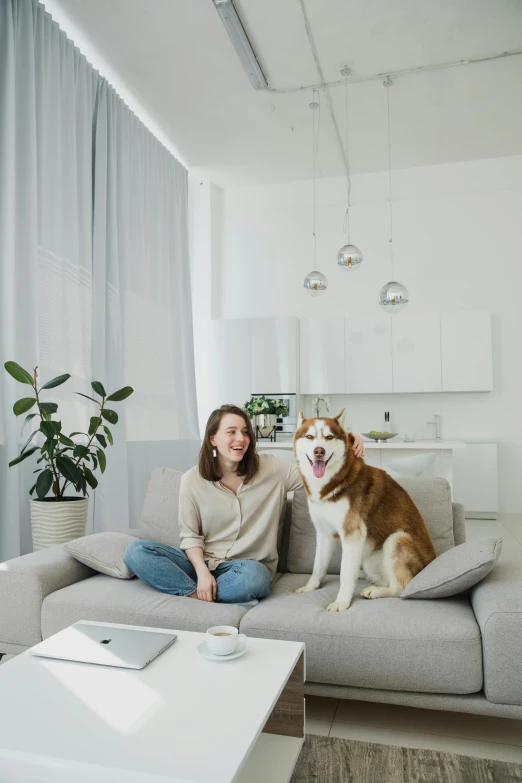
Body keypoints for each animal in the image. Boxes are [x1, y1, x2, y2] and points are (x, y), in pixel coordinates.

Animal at [292, 410, 434, 612]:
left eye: (329, 437)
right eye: (310, 436)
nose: (319, 451)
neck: (334, 483)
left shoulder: (353, 534)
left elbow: (344, 573)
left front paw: (341, 602)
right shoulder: (325, 533)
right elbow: (318, 567)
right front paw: (310, 587)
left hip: (397, 539)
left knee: (401, 587)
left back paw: (376, 590)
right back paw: (365, 576)